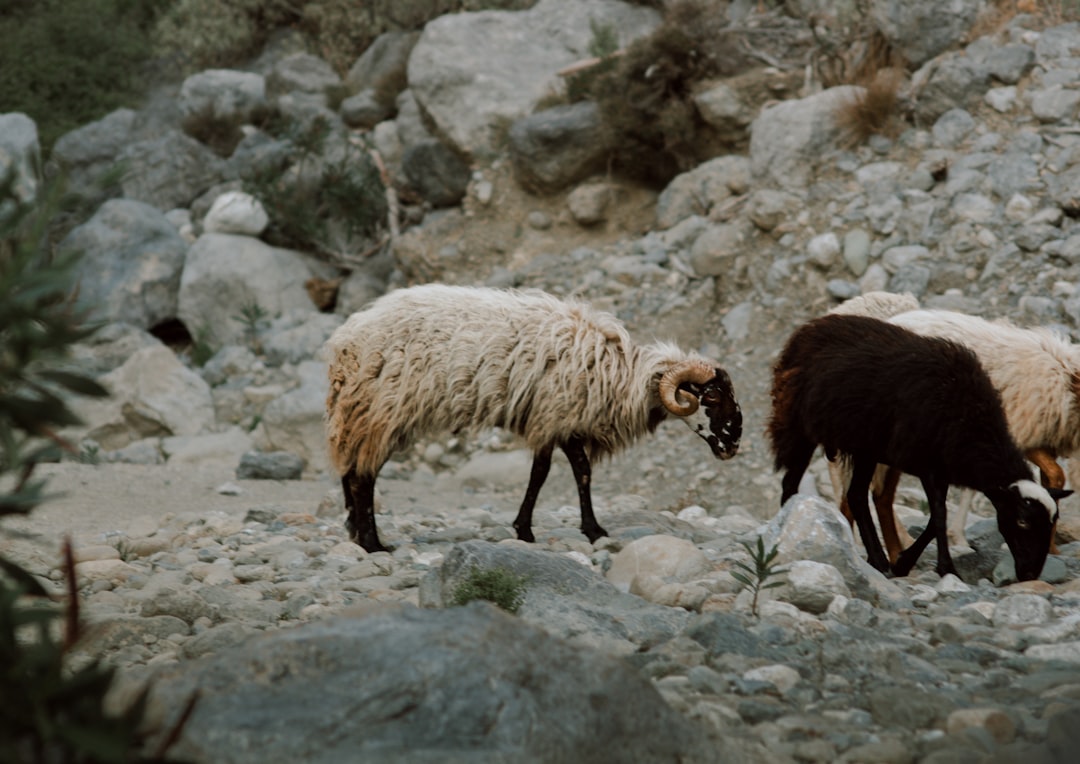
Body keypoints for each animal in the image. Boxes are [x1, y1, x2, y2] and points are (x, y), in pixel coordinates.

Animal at [325, 284, 743, 552]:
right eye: (712, 395)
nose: (734, 444)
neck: (620, 374)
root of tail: (345, 341)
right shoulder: (553, 414)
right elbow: (543, 474)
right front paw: (527, 531)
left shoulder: (566, 422)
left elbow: (581, 471)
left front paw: (591, 529)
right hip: (383, 410)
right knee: (363, 478)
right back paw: (373, 544)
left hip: (363, 413)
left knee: (352, 471)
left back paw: (356, 533)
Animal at [768, 313, 1065, 581]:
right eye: (1023, 521)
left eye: (1052, 523)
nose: (1030, 574)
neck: (967, 419)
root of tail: (809, 329)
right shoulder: (928, 465)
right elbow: (940, 515)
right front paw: (946, 568)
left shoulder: (942, 468)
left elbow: (935, 519)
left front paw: (902, 563)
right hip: (799, 427)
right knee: (792, 485)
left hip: (865, 447)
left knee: (855, 495)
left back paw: (878, 560)